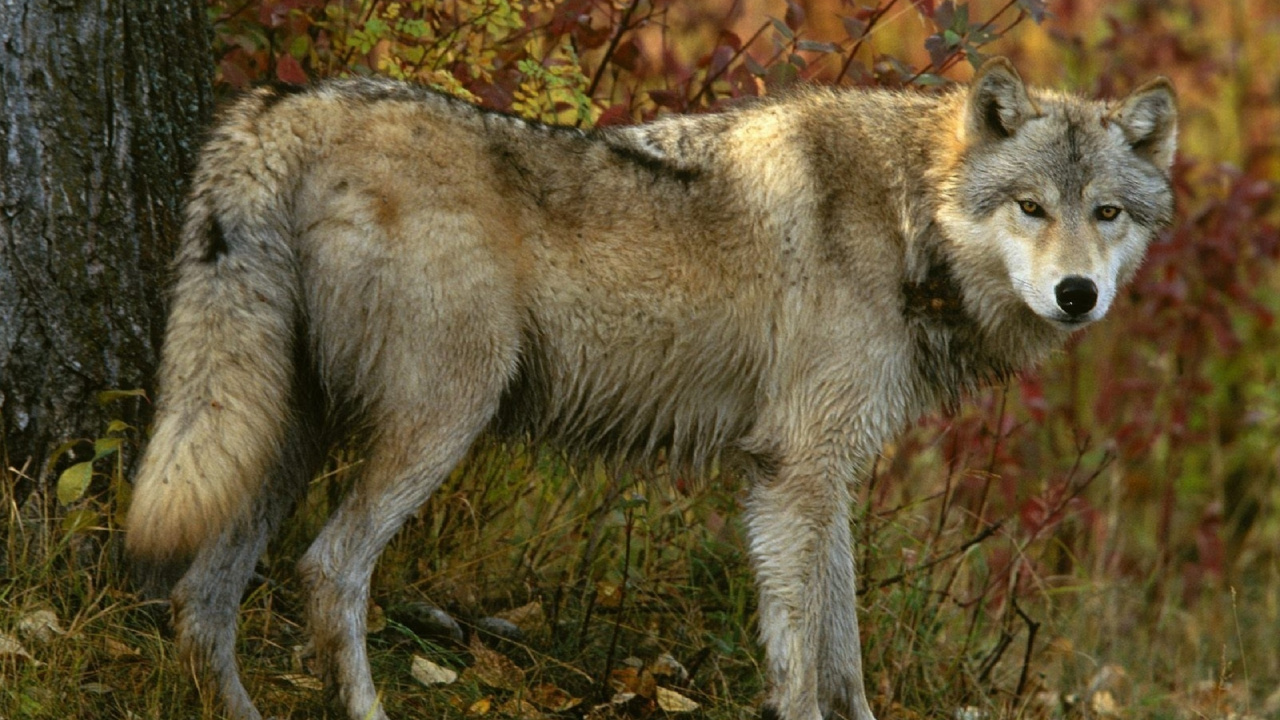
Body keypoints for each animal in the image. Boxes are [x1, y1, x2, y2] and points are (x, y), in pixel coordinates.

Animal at [125, 58, 1176, 720]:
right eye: (1031, 207)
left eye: (1107, 213)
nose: (1077, 295)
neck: (907, 217)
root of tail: (290, 105)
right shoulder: (794, 475)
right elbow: (803, 667)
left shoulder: (819, 474)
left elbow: (844, 658)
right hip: (438, 423)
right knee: (329, 569)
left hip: (279, 437)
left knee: (201, 600)